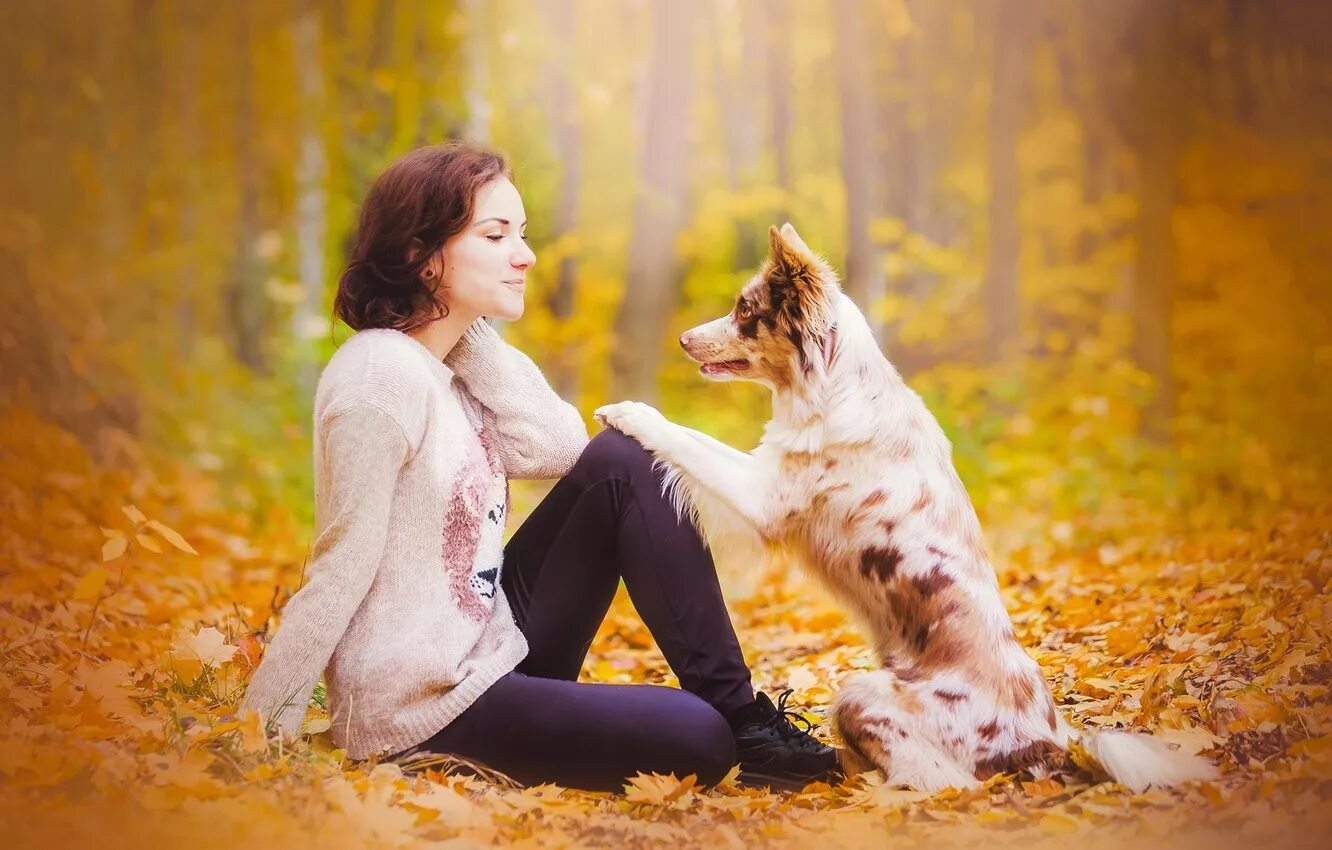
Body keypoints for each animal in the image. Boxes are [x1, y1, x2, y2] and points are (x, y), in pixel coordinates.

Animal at [594, 223, 1220, 794]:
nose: (683, 339)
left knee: (945, 783)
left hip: (861, 693)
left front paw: (628, 412)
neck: (831, 390)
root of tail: (1045, 740)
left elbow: (682, 436)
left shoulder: (763, 495)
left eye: (745, 310)